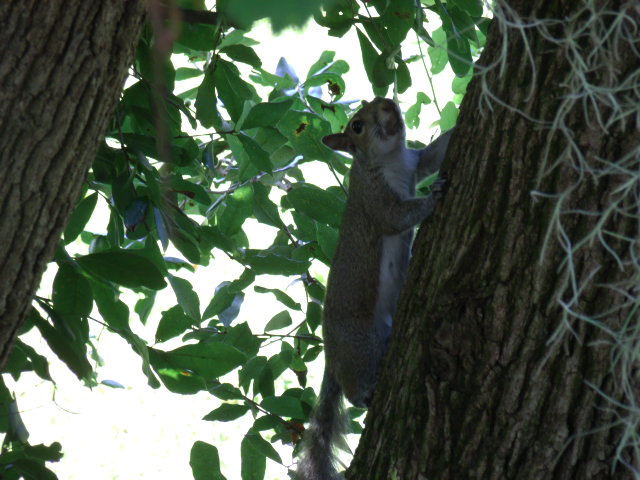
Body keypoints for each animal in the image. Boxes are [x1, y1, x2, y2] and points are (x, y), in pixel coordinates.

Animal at [295, 97, 453, 480]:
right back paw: (368, 393)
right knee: (356, 390)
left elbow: (435, 153)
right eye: (356, 126)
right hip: (361, 347)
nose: (387, 103)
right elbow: (395, 218)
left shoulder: (415, 162)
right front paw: (432, 199)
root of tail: (332, 355)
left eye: (375, 102)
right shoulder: (373, 197)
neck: (390, 159)